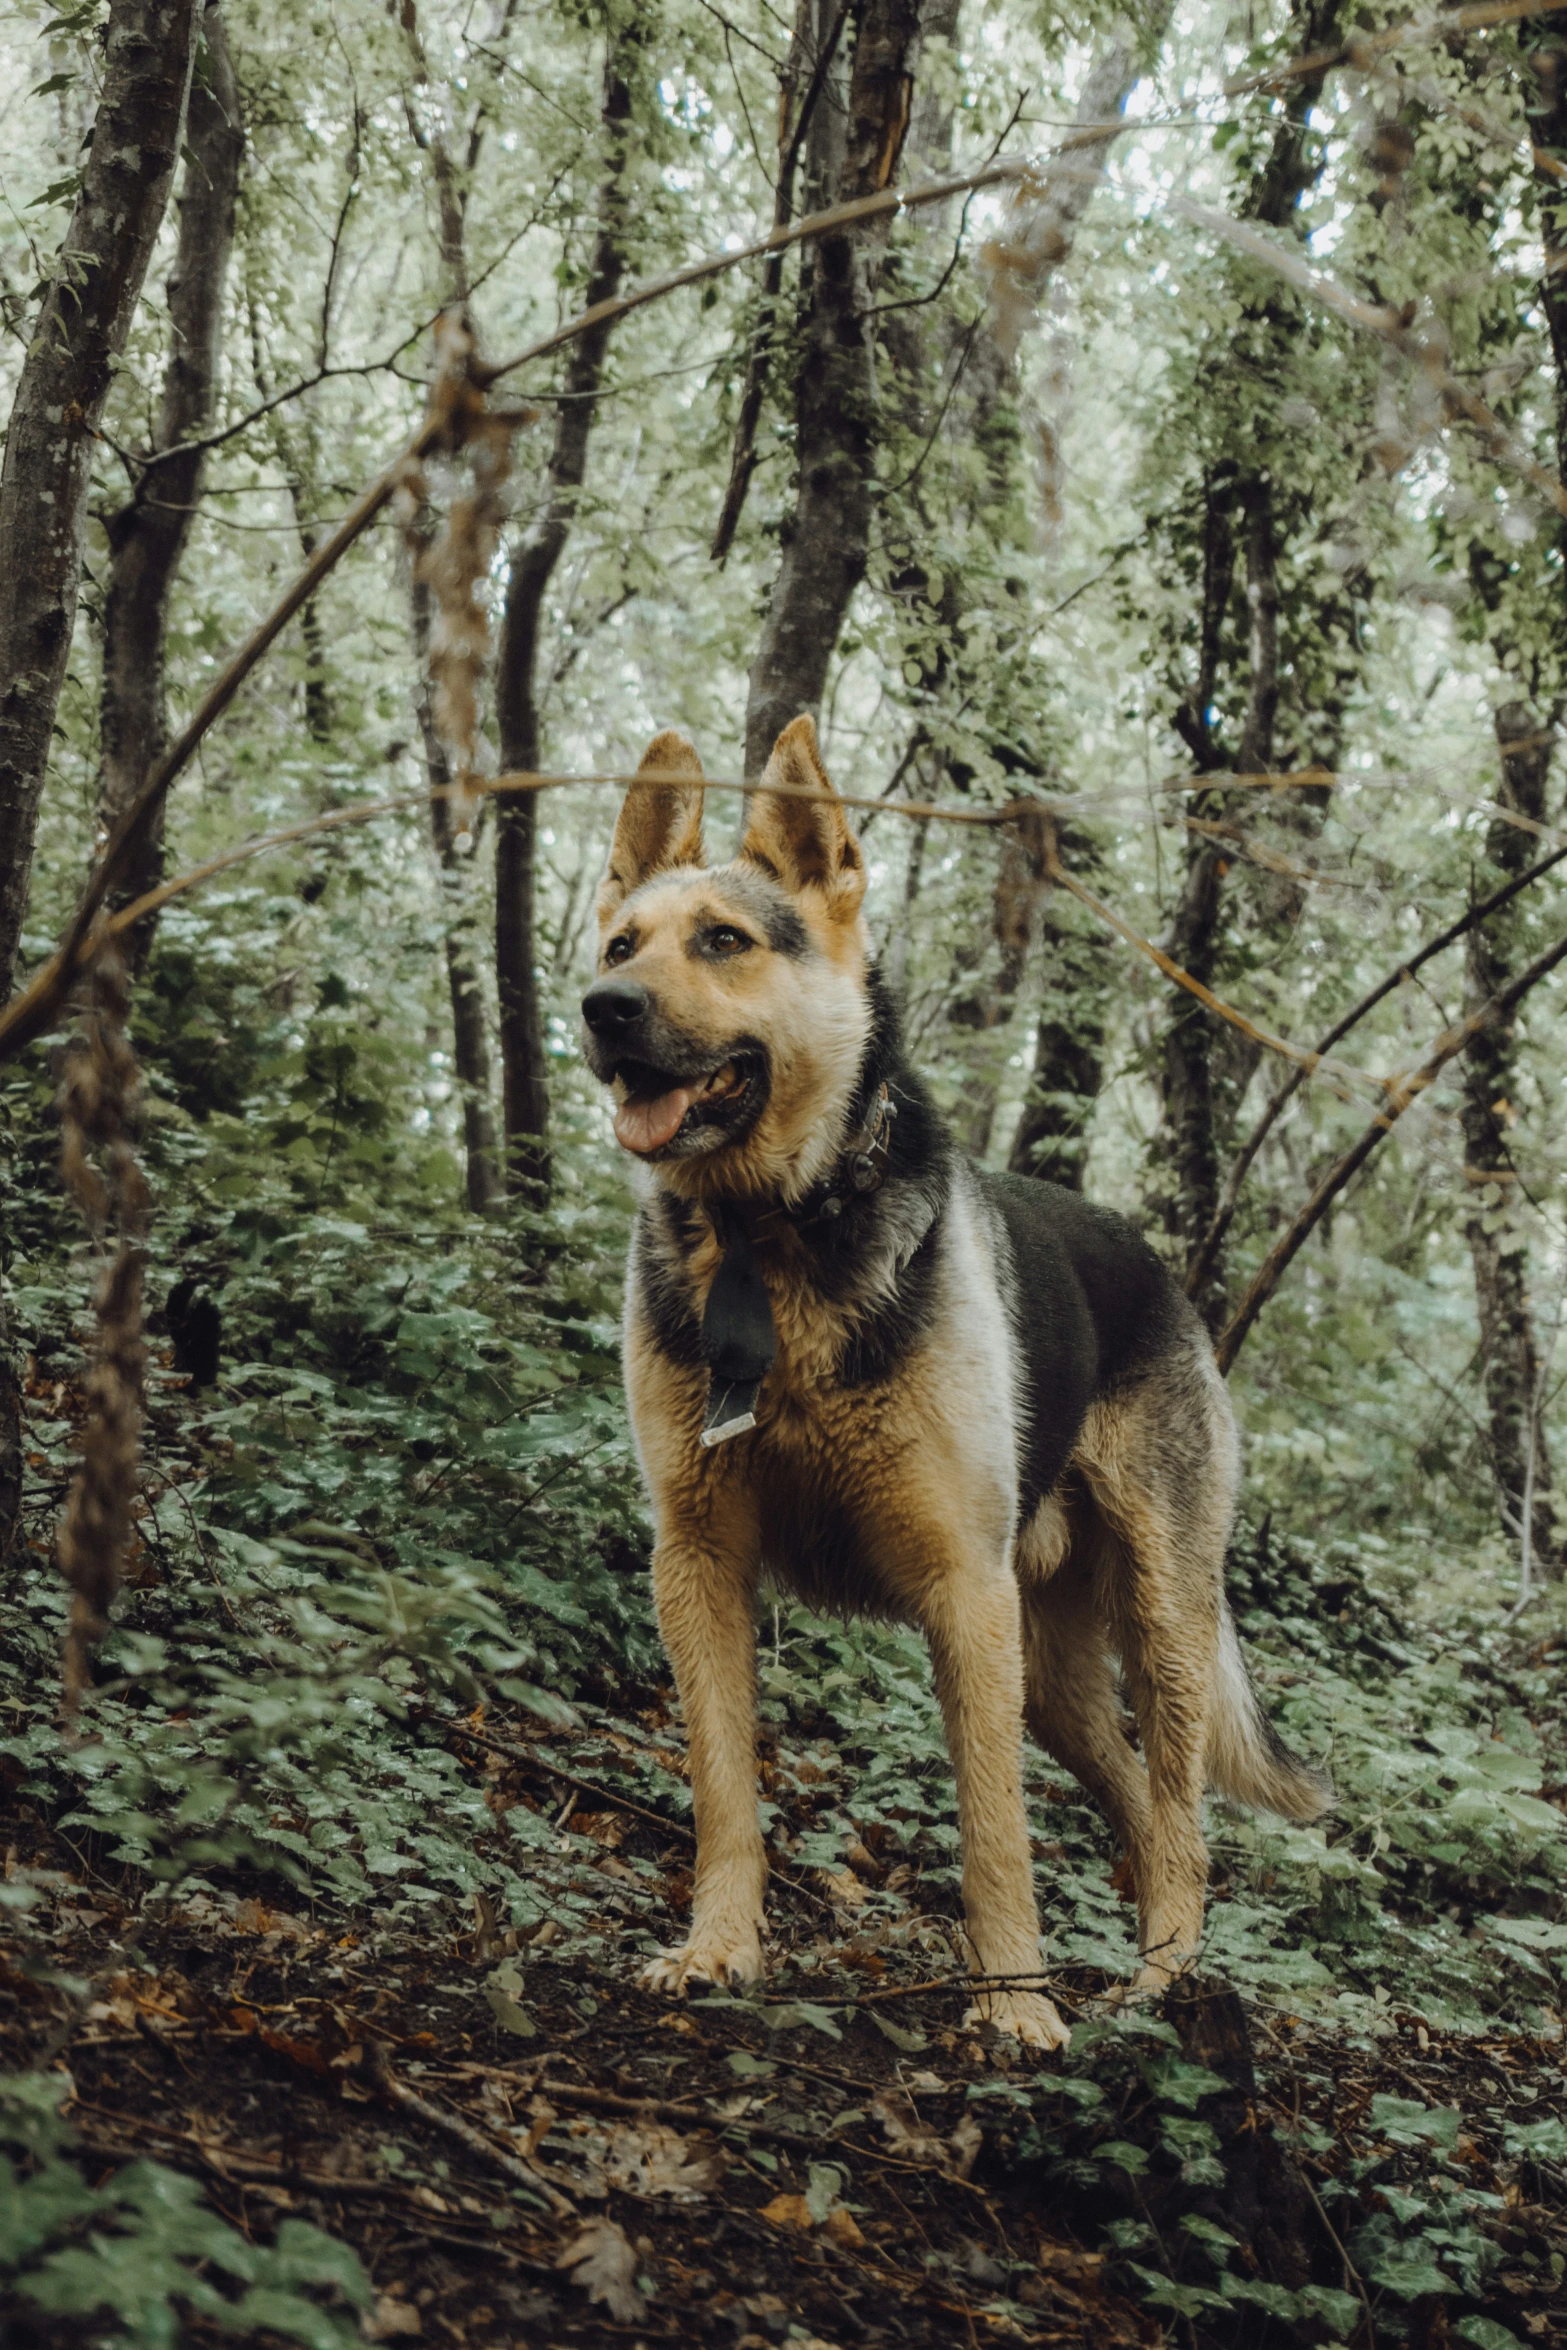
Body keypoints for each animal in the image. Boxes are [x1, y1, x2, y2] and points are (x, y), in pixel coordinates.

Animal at [582, 714, 1334, 2058]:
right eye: (621, 944)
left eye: (723, 941)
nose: (600, 1009)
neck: (773, 1237)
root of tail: (1159, 1267)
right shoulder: (698, 1564)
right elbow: (724, 1788)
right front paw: (718, 1948)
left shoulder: (960, 1595)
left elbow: (994, 1832)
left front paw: (1015, 2006)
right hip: (1052, 1672)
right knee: (1135, 1798)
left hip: (1159, 1624)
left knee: (1181, 1809)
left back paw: (1163, 1977)